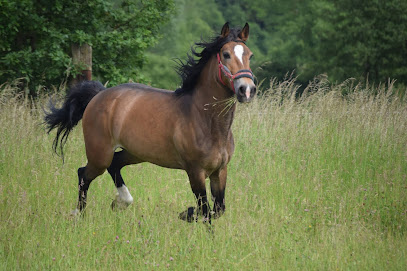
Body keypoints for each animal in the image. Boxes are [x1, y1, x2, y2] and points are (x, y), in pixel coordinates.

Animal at [43, 22, 255, 223]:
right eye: (226, 54)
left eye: (250, 56)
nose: (246, 90)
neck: (207, 122)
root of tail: (98, 95)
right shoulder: (195, 172)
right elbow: (205, 212)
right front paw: (187, 214)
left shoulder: (220, 171)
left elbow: (218, 209)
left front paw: (186, 213)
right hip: (100, 155)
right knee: (83, 174)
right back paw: (78, 215)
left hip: (135, 152)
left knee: (114, 165)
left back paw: (120, 202)